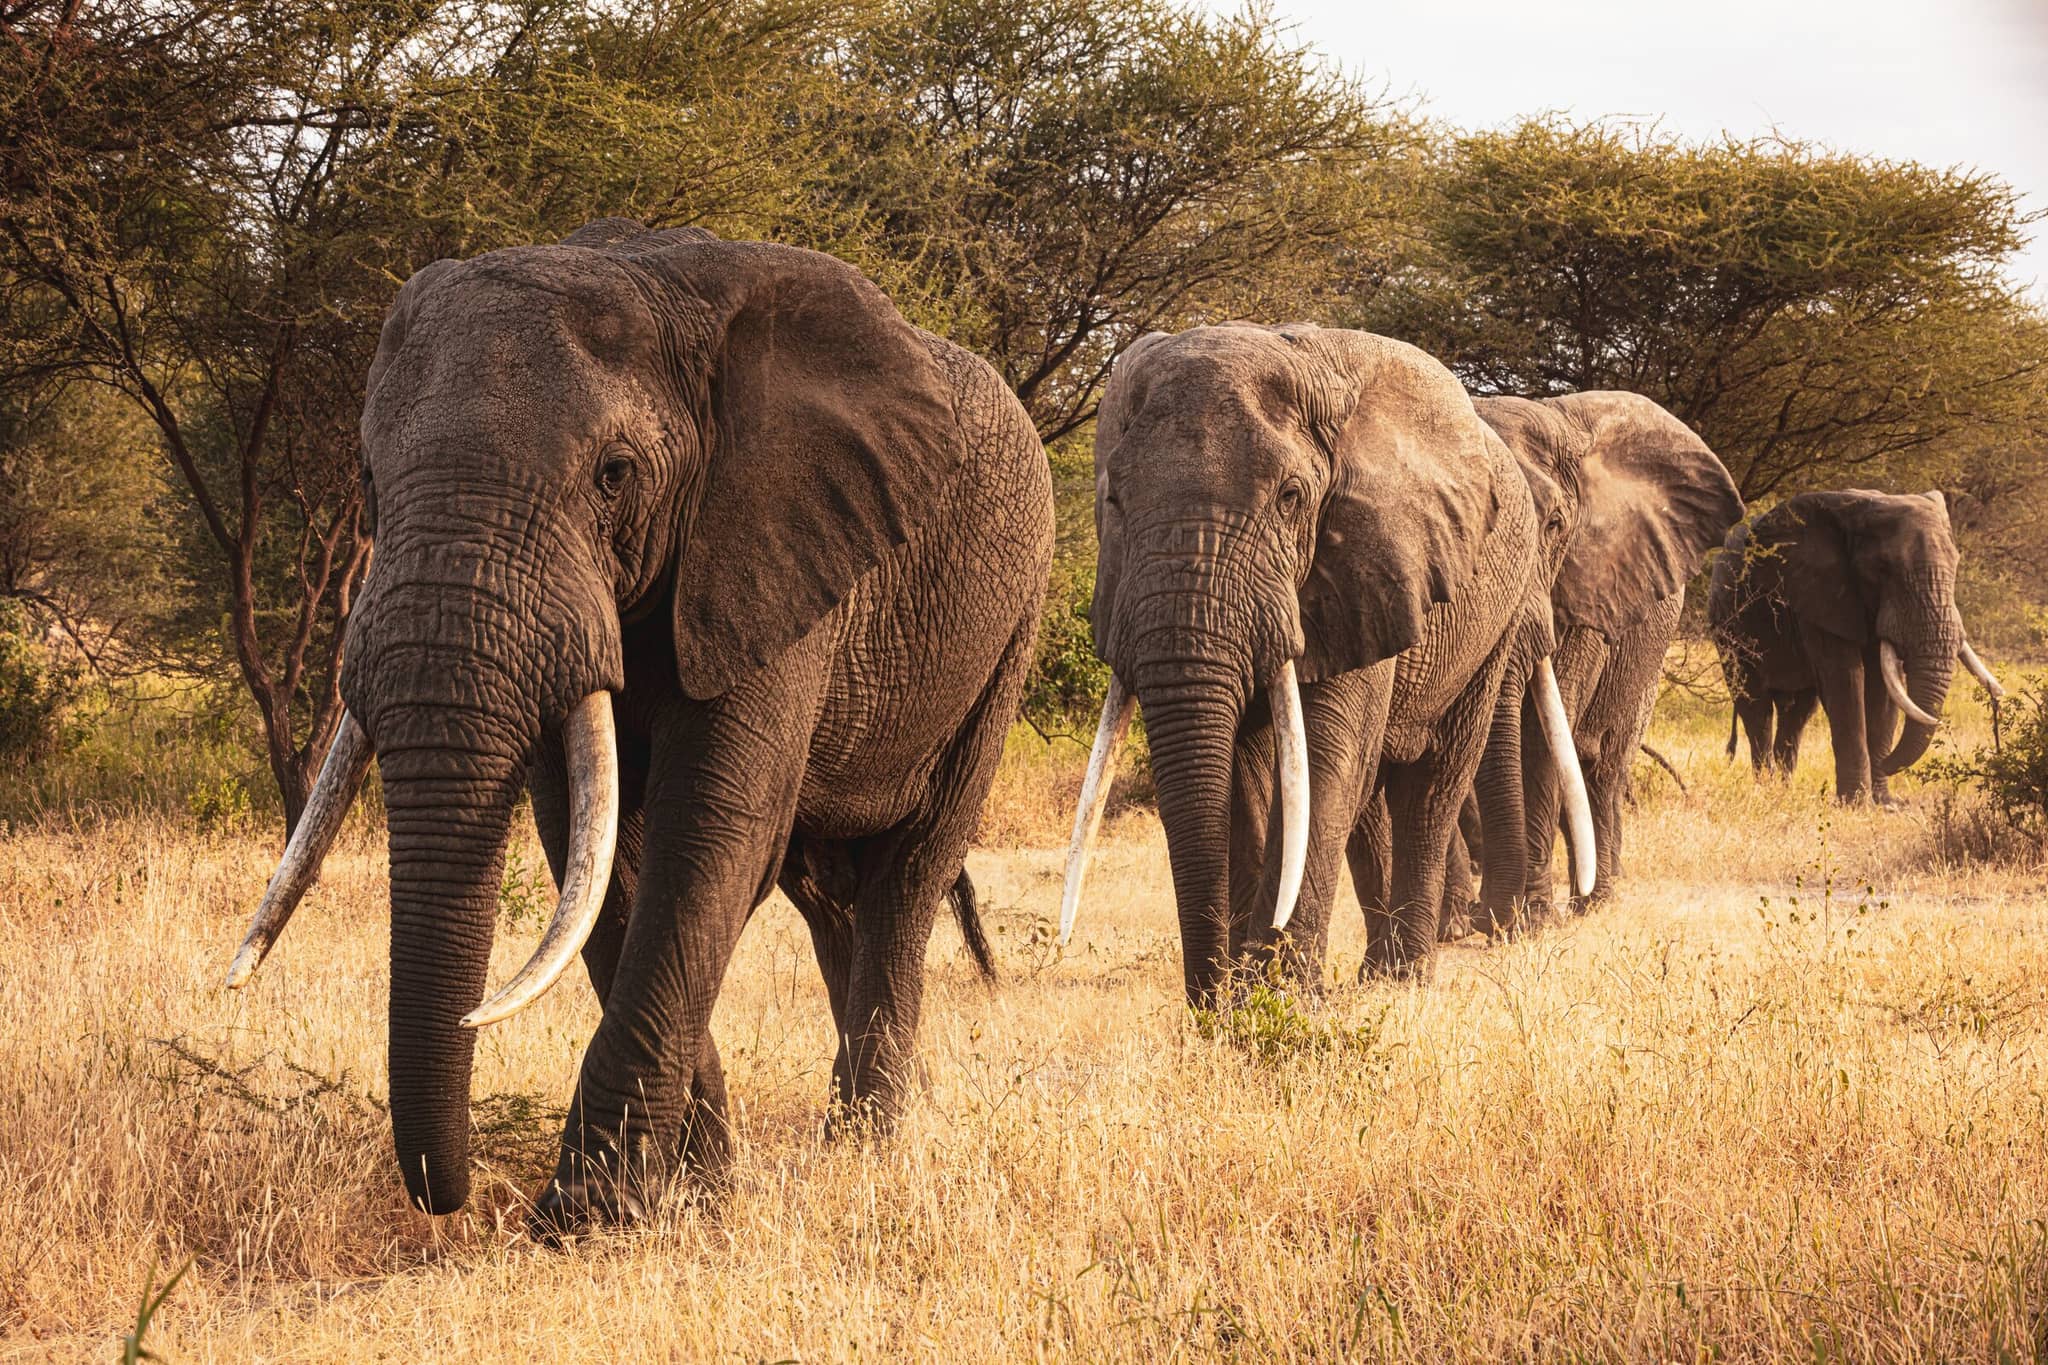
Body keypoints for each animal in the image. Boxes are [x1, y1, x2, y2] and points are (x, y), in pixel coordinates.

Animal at [222, 219, 1055, 1233]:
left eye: (613, 475)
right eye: (368, 480)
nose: (451, 1196)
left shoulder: (774, 548)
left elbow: (711, 829)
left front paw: (584, 1214)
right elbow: (590, 849)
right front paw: (694, 1191)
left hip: (1008, 632)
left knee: (911, 870)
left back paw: (865, 1148)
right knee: (829, 896)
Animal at [1056, 321, 1597, 997]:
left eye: (1291, 498)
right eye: (1115, 501)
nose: (1208, 998)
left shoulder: (1368, 567)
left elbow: (1323, 756)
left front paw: (1277, 999)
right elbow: (1245, 770)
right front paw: (1244, 1000)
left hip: (1492, 624)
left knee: (1433, 781)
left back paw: (1403, 978)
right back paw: (1377, 974)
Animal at [1436, 393, 1743, 934]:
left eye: (1555, 525)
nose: (1486, 918)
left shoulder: (1588, 596)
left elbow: (1540, 741)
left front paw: (1531, 921)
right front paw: (1456, 924)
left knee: (1601, 764)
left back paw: (1596, 900)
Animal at [1708, 488, 2004, 804]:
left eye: (1956, 565)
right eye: (1882, 568)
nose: (1887, 764)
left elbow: (1883, 688)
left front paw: (1884, 803)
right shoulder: (1820, 595)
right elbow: (1846, 681)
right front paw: (1855, 804)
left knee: (1797, 712)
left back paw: (1784, 789)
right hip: (1726, 628)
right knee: (1755, 706)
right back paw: (1765, 789)